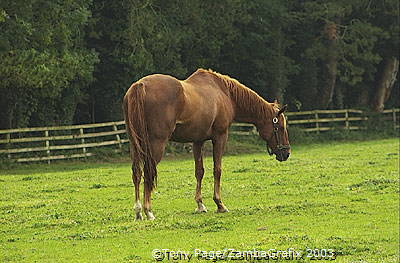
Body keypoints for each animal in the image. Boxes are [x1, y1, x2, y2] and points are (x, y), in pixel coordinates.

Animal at [122, 69, 290, 222]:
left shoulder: (198, 141)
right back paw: (148, 211)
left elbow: (199, 171)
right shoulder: (220, 137)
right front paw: (220, 204)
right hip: (157, 144)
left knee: (137, 173)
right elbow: (217, 170)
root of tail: (140, 85)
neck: (224, 93)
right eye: (281, 127)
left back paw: (138, 211)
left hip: (135, 145)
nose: (286, 153)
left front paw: (200, 205)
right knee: (148, 172)